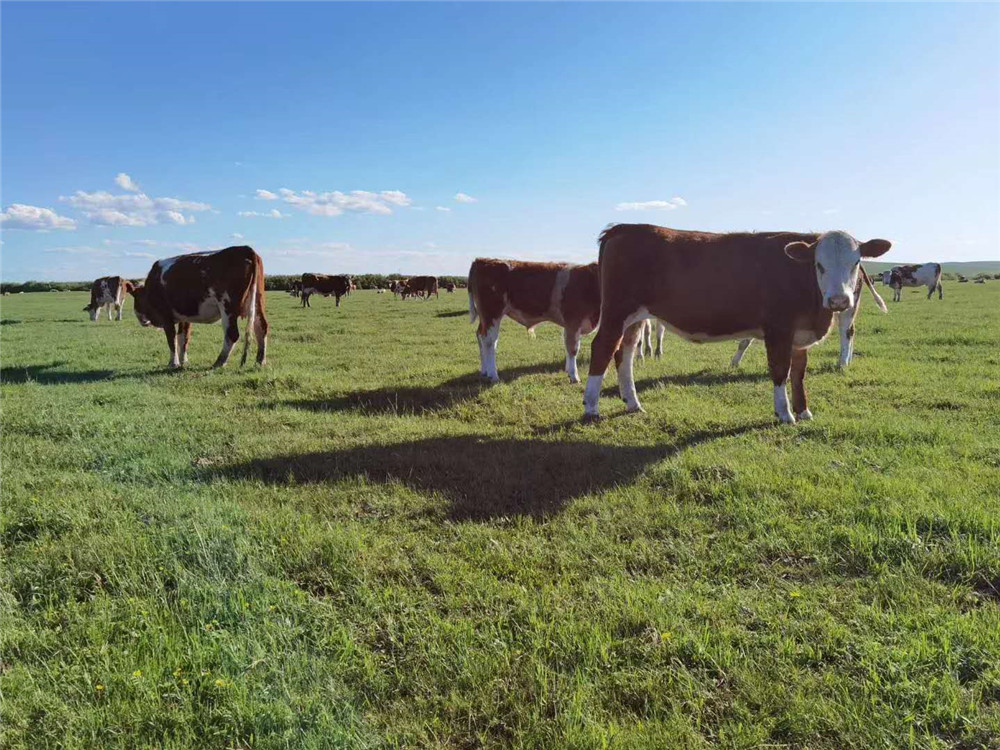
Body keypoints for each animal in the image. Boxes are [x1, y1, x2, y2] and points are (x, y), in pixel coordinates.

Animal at [129, 245, 268, 369]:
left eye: (137, 299)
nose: (143, 321)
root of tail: (246, 248)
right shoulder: (185, 316)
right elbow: (183, 338)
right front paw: (184, 361)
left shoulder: (165, 315)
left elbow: (172, 339)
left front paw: (173, 363)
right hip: (258, 300)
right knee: (261, 327)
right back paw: (260, 361)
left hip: (227, 307)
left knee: (232, 334)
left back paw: (219, 362)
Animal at [468, 258, 600, 383]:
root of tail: (480, 260)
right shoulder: (573, 321)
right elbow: (573, 349)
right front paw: (574, 376)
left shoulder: (569, 325)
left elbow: (567, 346)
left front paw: (568, 370)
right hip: (492, 314)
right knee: (489, 342)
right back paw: (493, 375)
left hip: (484, 317)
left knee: (480, 336)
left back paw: (485, 371)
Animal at [730, 266, 885, 369]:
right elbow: (745, 340)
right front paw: (735, 362)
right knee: (851, 329)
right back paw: (848, 359)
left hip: (846, 305)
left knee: (846, 331)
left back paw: (842, 363)